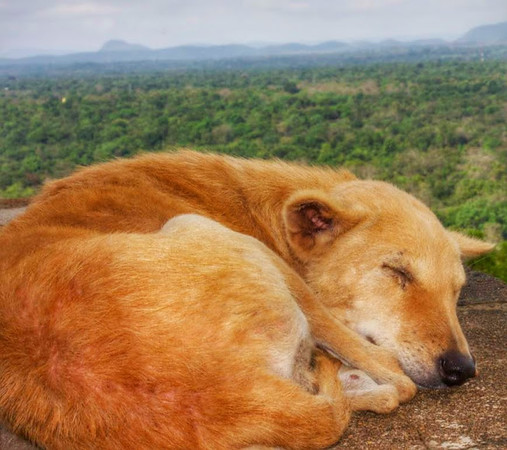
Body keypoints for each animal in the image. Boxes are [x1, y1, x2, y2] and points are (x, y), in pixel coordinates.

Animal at [0, 151, 494, 446]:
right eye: (397, 272)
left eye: (457, 291)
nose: (461, 370)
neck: (263, 210)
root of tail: (241, 391)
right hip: (216, 236)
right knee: (392, 376)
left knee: (377, 388)